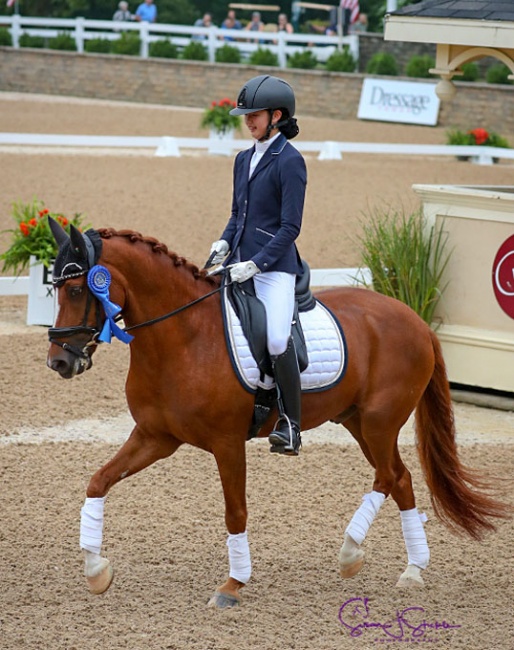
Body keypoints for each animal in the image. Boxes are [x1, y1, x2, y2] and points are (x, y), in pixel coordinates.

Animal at [46, 224, 506, 608]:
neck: (184, 337)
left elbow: (235, 512)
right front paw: (95, 570)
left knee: (391, 476)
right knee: (399, 478)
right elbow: (99, 481)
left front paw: (232, 585)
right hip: (357, 422)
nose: (58, 363)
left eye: (77, 290)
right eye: (54, 289)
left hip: (379, 422)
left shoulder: (227, 443)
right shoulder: (155, 437)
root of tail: (416, 320)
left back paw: (370, 558)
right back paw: (396, 566)